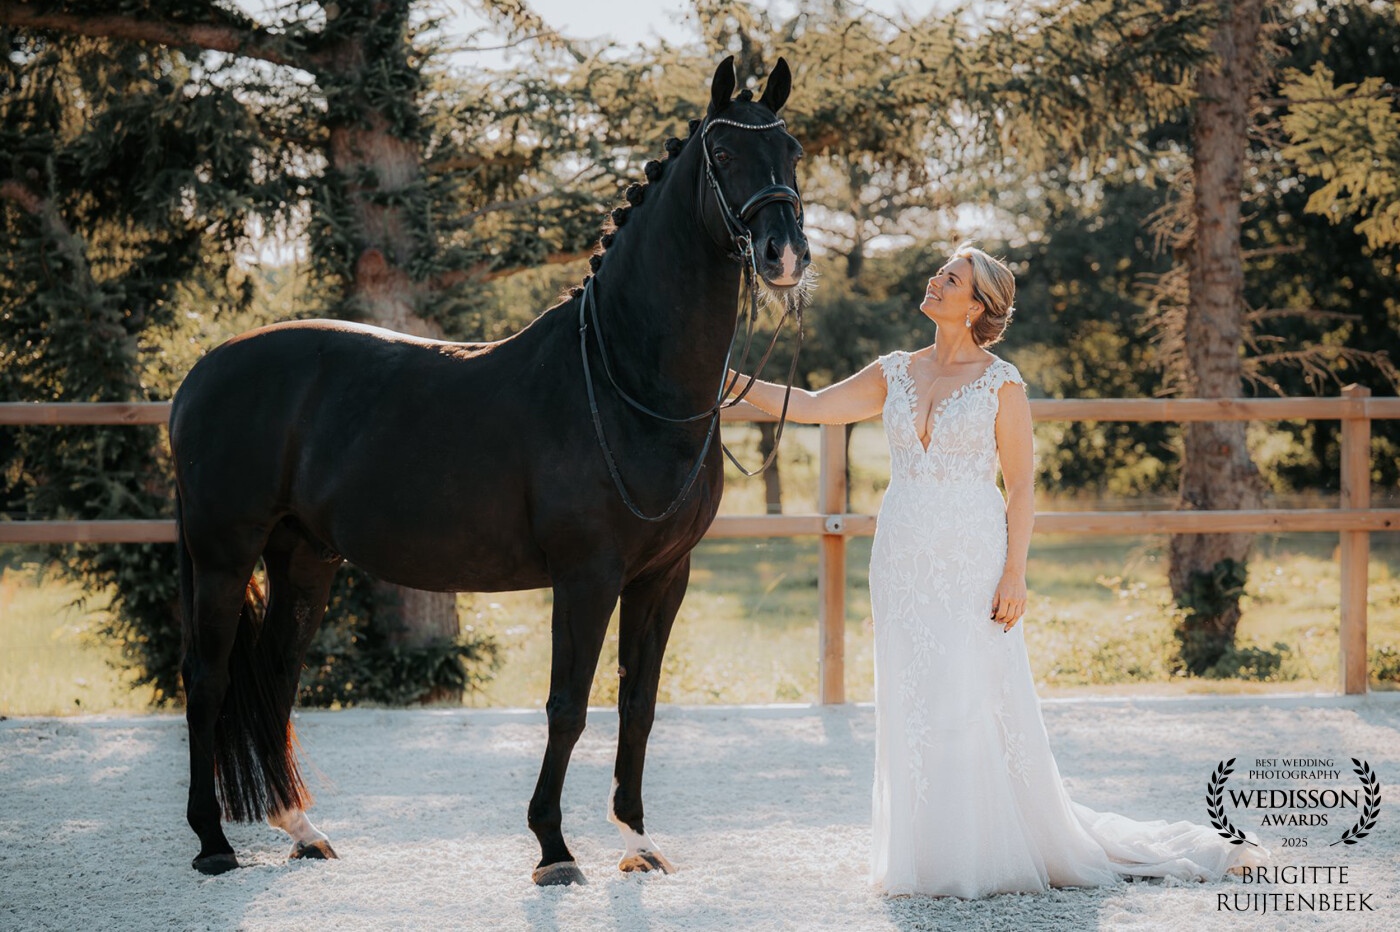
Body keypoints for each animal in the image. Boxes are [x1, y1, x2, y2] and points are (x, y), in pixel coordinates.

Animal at [168, 55, 811, 885]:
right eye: (725, 154)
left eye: (792, 150)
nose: (784, 253)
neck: (624, 383)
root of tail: (200, 373)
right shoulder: (587, 576)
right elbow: (568, 706)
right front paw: (553, 848)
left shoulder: (664, 577)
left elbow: (638, 706)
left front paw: (636, 839)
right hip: (223, 552)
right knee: (208, 677)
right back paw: (212, 840)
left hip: (303, 554)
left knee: (277, 675)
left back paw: (300, 829)